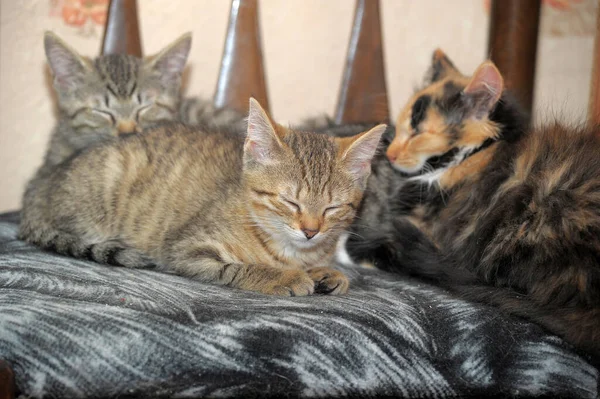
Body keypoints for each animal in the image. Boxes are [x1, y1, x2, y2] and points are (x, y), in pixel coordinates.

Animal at [19, 98, 384, 296]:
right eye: (289, 201)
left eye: (333, 207)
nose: (310, 231)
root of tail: (38, 192)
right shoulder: (185, 251)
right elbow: (241, 267)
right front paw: (284, 276)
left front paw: (326, 273)